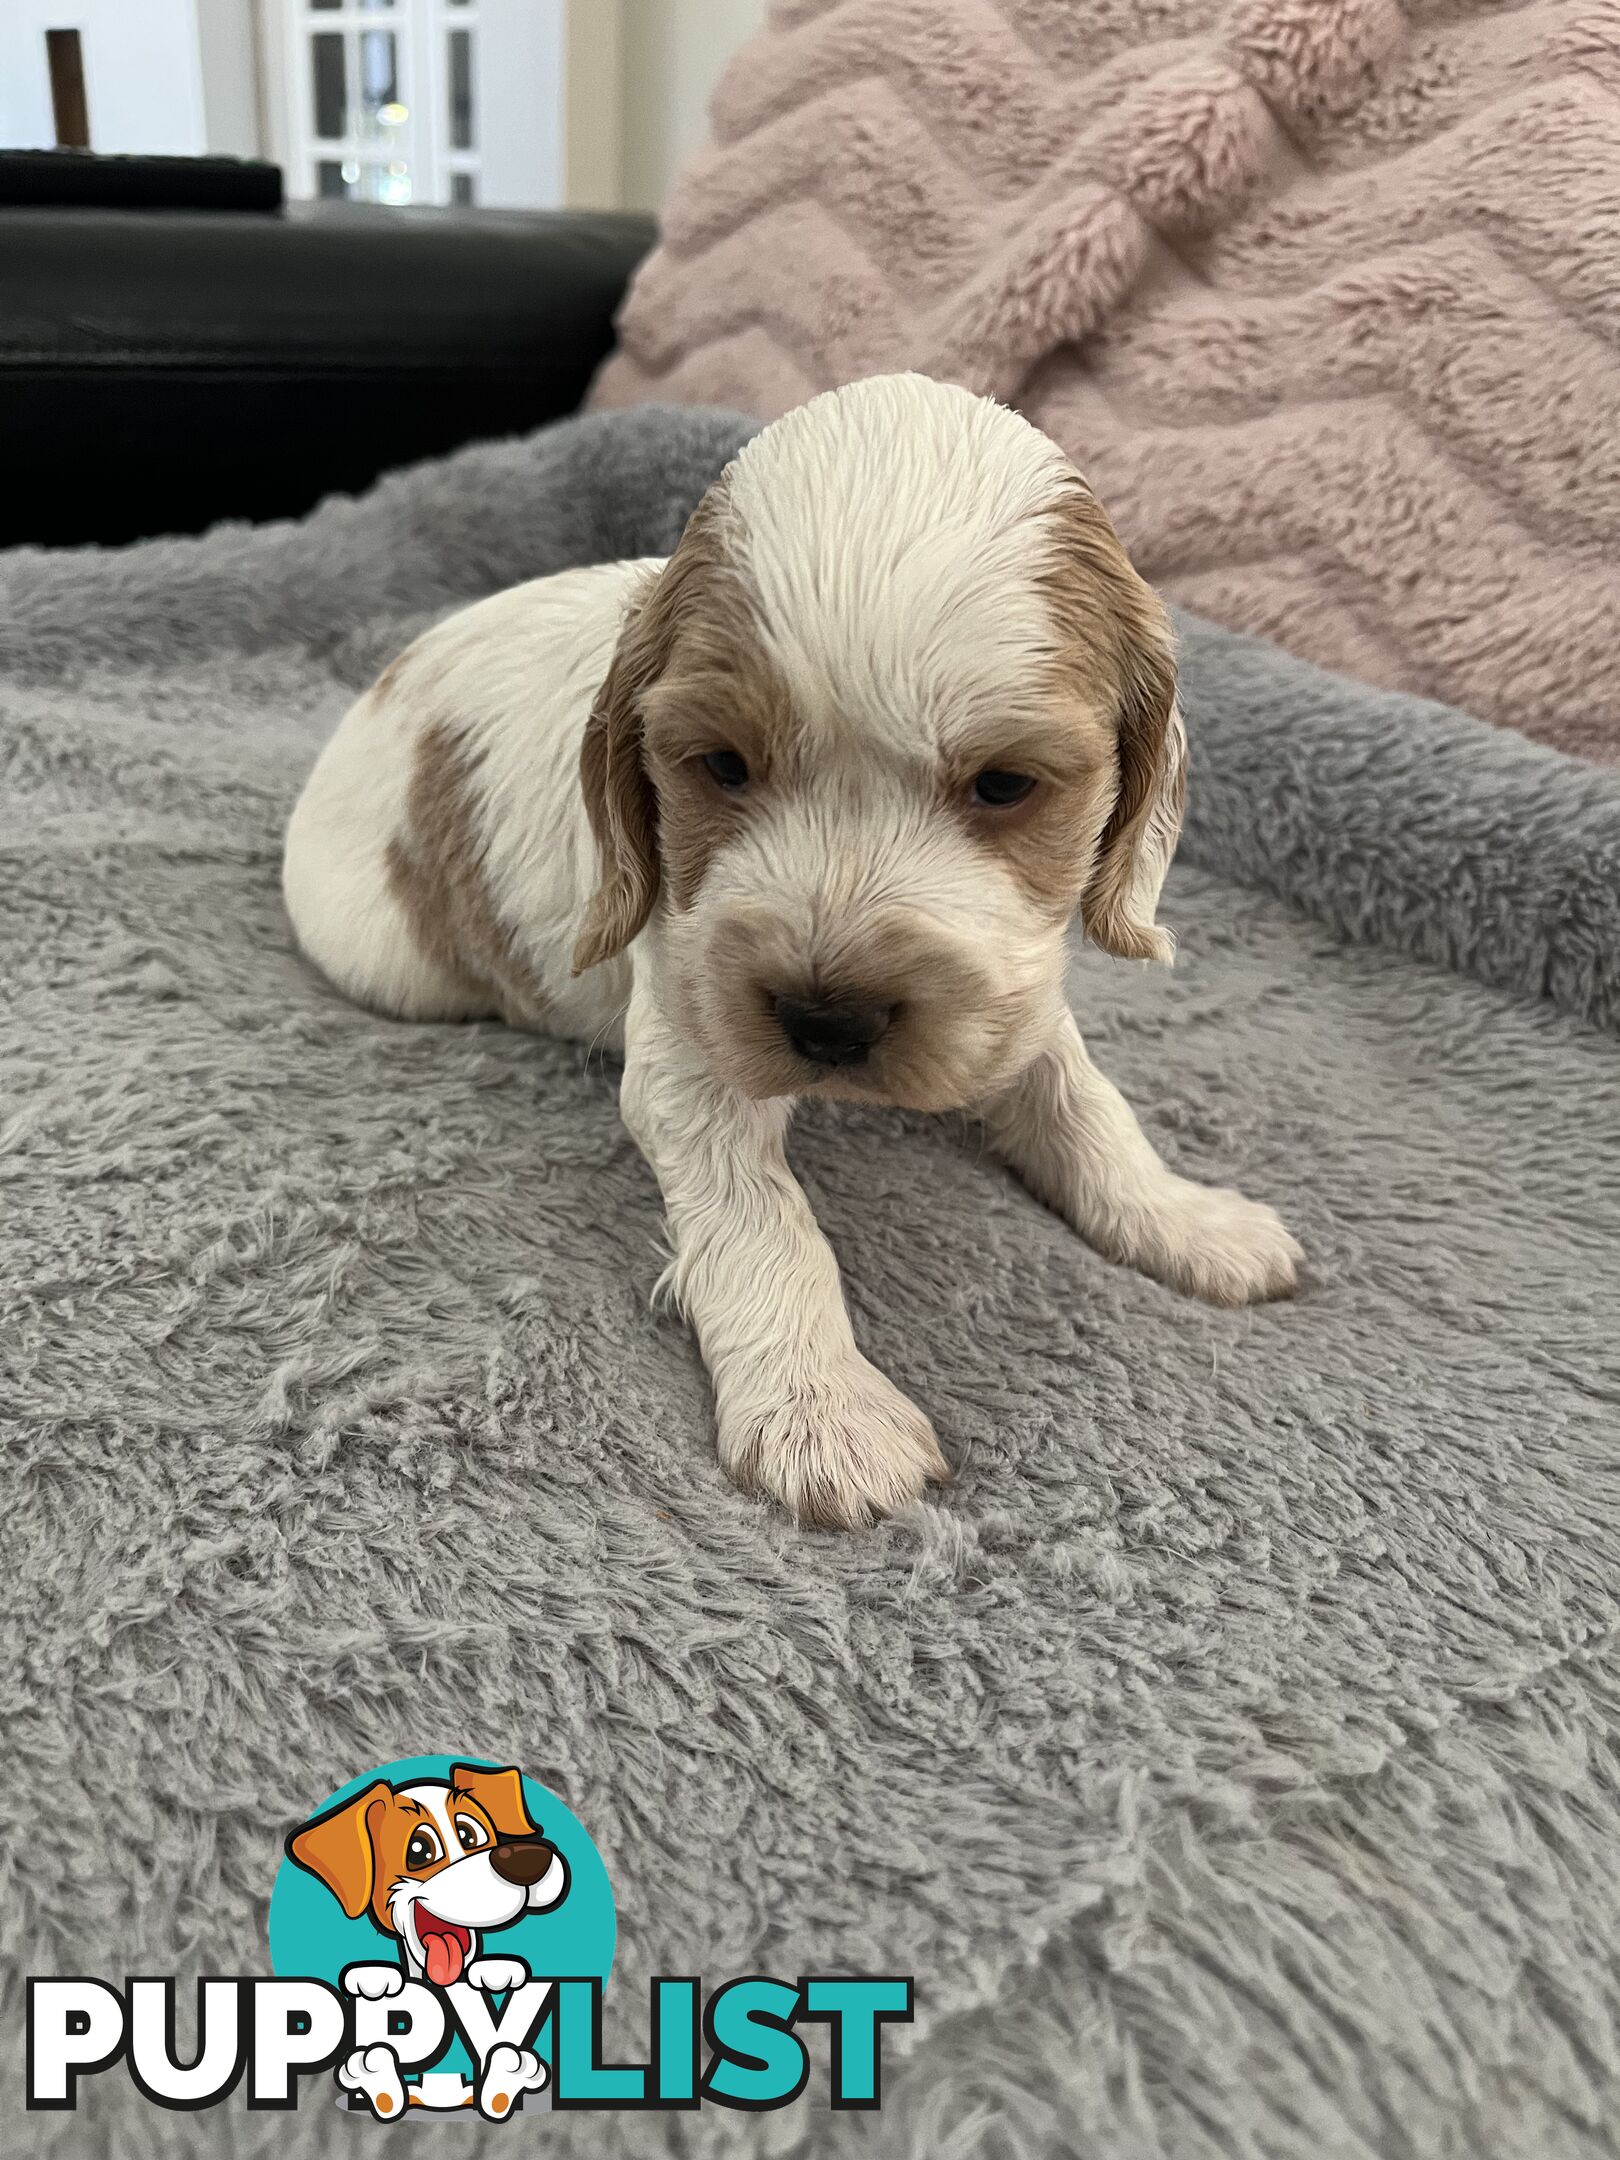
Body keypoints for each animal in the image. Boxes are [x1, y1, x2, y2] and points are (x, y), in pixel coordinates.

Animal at [285, 371, 1304, 1529]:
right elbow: (762, 1219)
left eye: (1005, 784)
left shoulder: (1016, 994)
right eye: (723, 765)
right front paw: (822, 1411)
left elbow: (1085, 1105)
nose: (829, 1019)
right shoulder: (691, 1036)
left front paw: (1185, 1219)